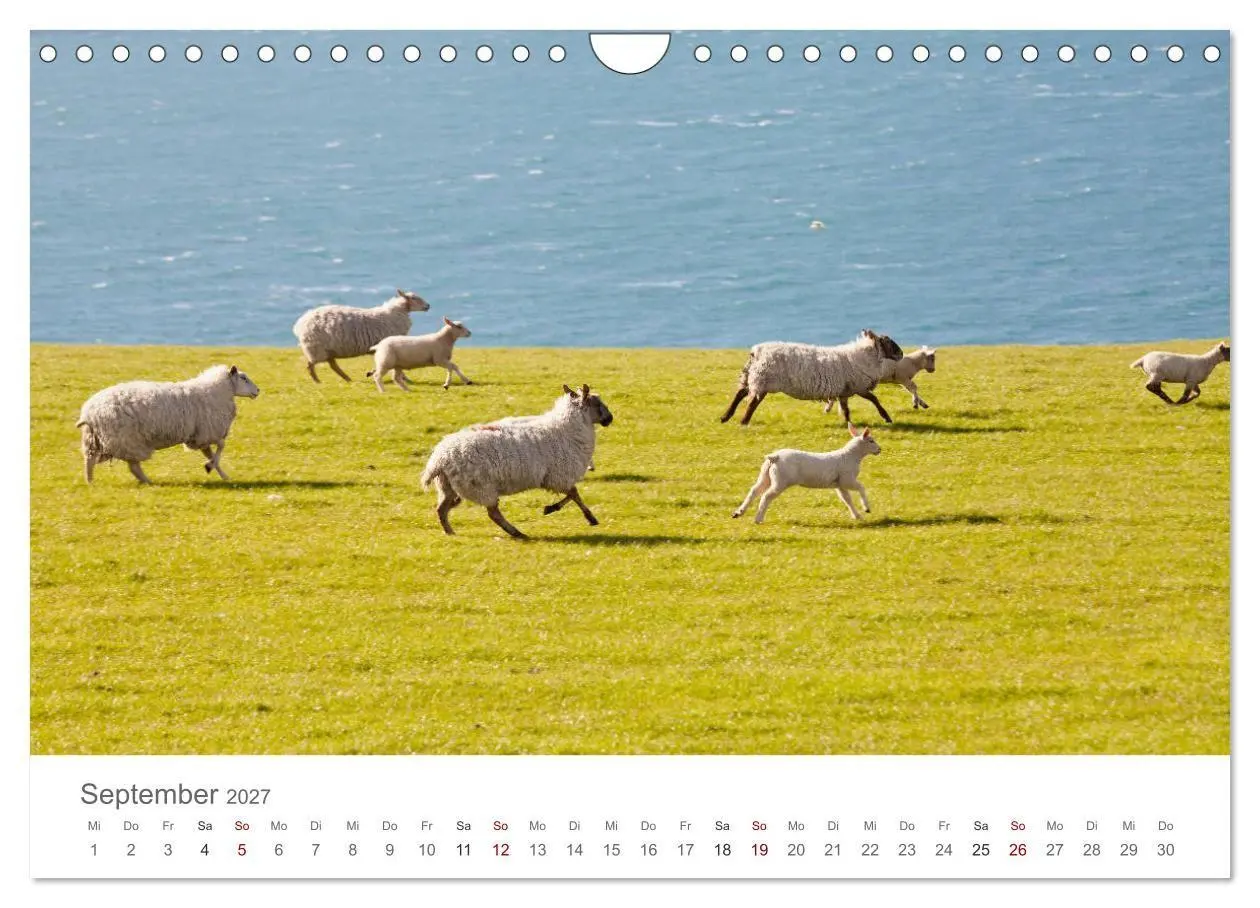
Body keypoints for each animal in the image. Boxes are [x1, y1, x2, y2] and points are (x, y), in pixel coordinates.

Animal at [76, 365, 261, 485]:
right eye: (243, 378)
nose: (257, 391)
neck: (215, 391)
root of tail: (88, 413)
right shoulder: (207, 432)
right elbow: (221, 446)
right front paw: (210, 467)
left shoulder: (199, 437)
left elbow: (211, 454)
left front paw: (222, 475)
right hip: (126, 439)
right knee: (133, 466)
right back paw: (147, 482)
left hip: (95, 440)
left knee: (89, 461)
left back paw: (90, 482)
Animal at [293, 288, 430, 383]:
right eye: (414, 298)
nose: (428, 306)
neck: (395, 313)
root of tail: (300, 323)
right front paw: (404, 378)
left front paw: (372, 372)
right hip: (316, 348)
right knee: (310, 365)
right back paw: (317, 381)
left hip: (327, 350)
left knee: (332, 365)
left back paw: (347, 379)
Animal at [420, 384, 613, 539]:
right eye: (597, 404)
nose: (610, 419)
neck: (567, 428)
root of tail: (439, 458)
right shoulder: (558, 476)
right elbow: (574, 494)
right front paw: (588, 518)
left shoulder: (553, 478)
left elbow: (572, 495)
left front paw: (553, 509)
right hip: (481, 486)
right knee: (493, 513)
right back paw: (517, 533)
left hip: (449, 487)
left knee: (442, 509)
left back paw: (450, 532)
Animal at [720, 329, 904, 426]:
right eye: (889, 343)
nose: (902, 354)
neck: (864, 356)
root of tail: (756, 351)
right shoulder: (859, 386)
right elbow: (875, 400)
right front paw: (887, 418)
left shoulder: (845, 390)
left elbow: (846, 409)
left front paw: (848, 424)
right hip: (762, 380)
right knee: (752, 402)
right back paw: (743, 421)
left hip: (753, 376)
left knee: (740, 393)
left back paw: (725, 417)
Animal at [732, 424, 881, 524]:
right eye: (871, 441)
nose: (880, 449)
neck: (851, 455)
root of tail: (774, 457)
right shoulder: (847, 479)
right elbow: (861, 488)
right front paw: (866, 508)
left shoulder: (839, 484)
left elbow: (847, 500)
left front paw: (857, 516)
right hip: (780, 481)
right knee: (766, 496)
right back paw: (758, 519)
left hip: (766, 476)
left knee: (754, 491)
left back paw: (739, 512)